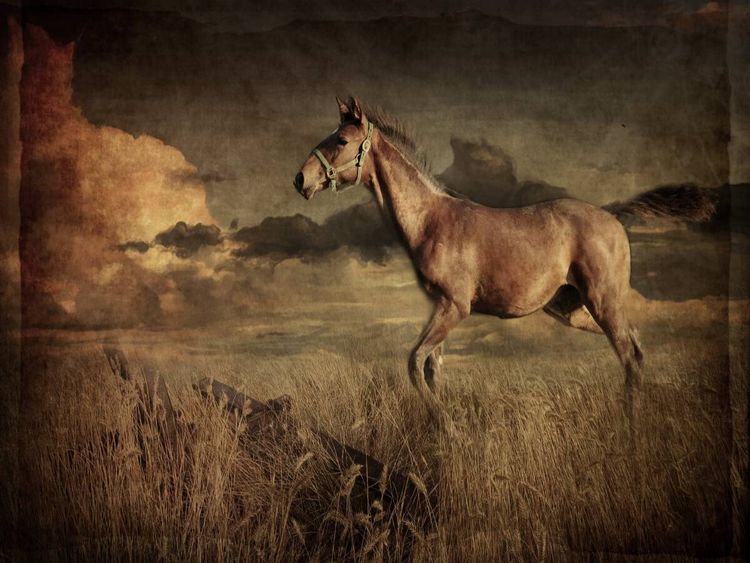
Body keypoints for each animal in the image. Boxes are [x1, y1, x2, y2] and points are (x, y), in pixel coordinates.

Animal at [293, 96, 716, 435]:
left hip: (602, 303)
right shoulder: (440, 308)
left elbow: (415, 363)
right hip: (574, 310)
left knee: (629, 356)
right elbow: (433, 369)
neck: (431, 220)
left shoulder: (454, 307)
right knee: (638, 348)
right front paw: (441, 434)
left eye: (341, 141)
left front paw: (448, 427)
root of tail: (612, 214)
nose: (300, 179)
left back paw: (632, 434)